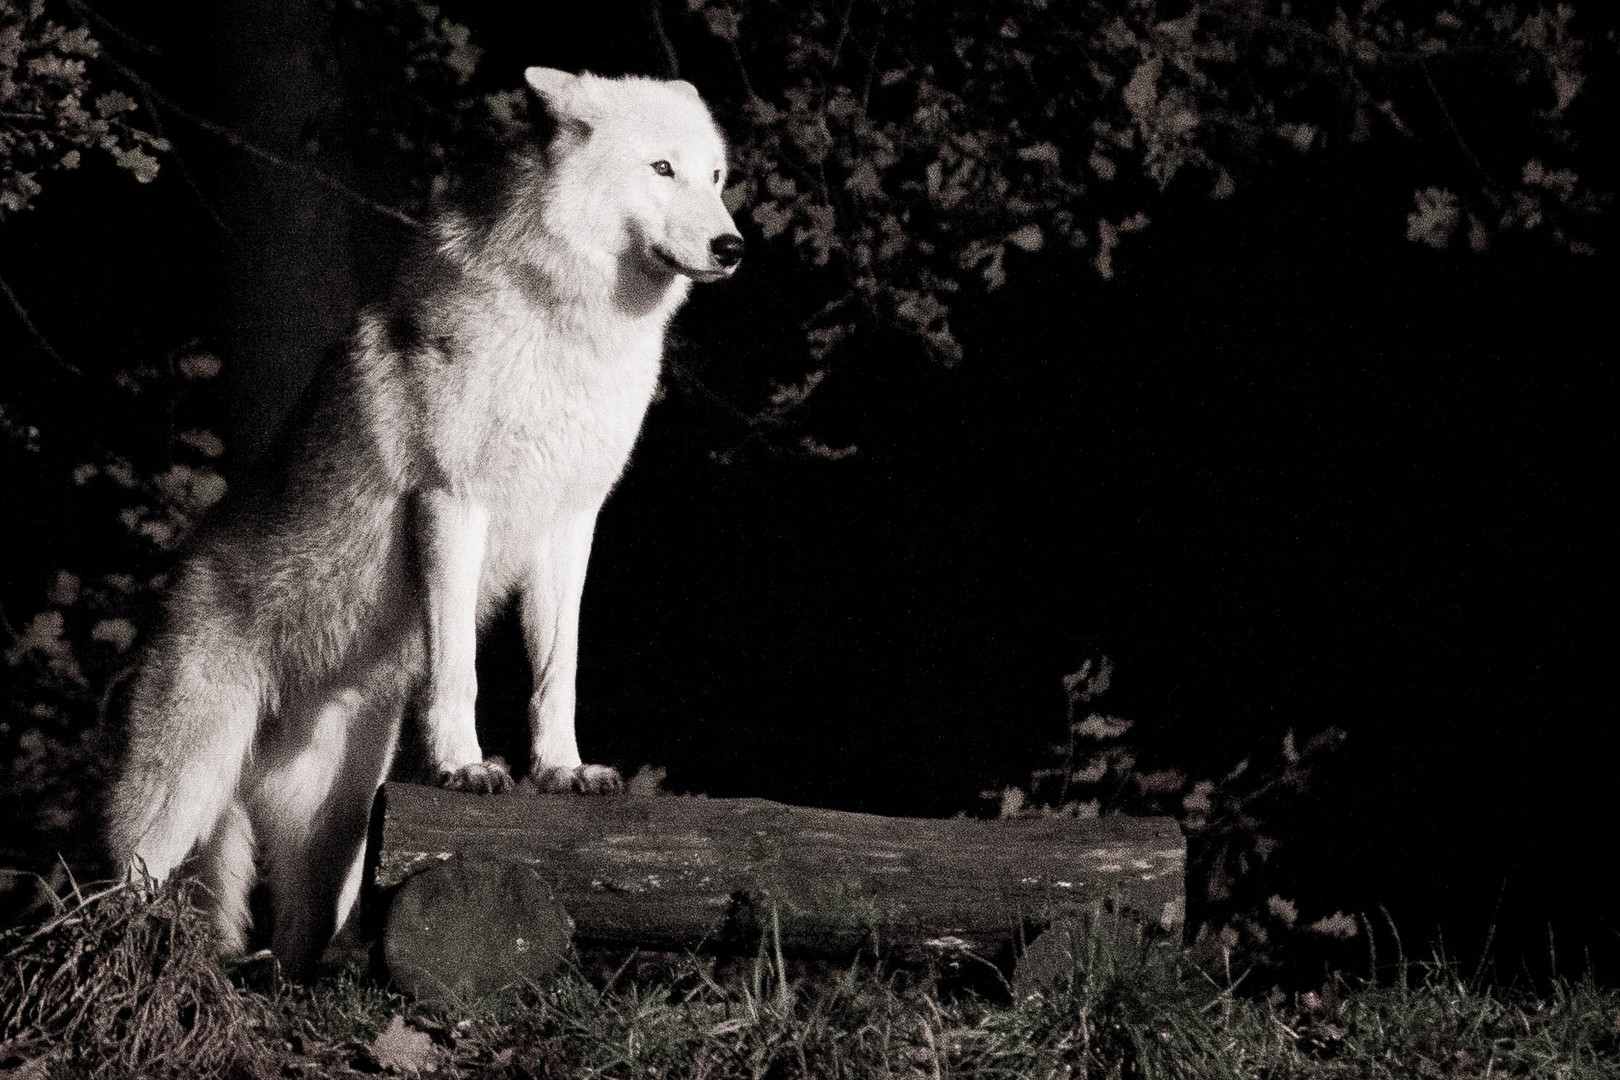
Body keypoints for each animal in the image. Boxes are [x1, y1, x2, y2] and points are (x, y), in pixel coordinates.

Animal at [99, 71, 735, 977]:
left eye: (716, 177)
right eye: (661, 168)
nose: (732, 246)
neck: (570, 329)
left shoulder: (572, 522)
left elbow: (557, 672)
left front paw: (564, 770)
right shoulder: (451, 501)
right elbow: (459, 665)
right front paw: (465, 767)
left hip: (337, 836)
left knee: (299, 939)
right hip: (181, 795)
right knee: (115, 891)